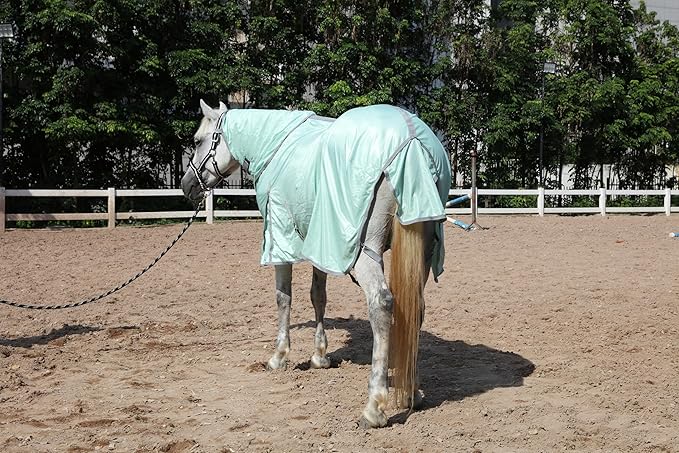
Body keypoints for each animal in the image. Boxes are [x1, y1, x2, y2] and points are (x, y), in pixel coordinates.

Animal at [181, 100, 451, 428]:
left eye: (197, 140)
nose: (186, 185)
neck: (276, 146)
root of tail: (411, 141)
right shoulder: (321, 241)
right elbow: (318, 296)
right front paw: (320, 356)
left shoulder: (281, 237)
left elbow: (283, 298)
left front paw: (279, 357)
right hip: (421, 254)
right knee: (416, 308)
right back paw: (411, 392)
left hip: (365, 253)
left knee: (382, 304)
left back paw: (374, 408)